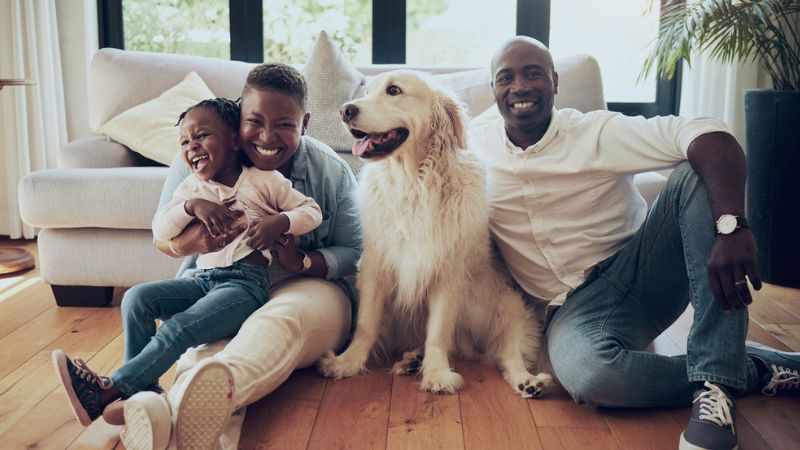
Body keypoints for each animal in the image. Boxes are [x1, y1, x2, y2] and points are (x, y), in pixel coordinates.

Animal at [316, 70, 552, 398]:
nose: (345, 110)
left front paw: (437, 373)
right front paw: (347, 363)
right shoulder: (375, 264)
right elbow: (365, 324)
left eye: (393, 90)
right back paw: (411, 360)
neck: (413, 181)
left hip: (510, 308)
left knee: (508, 354)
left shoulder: (448, 270)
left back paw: (528, 382)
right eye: (367, 91)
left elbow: (438, 333)